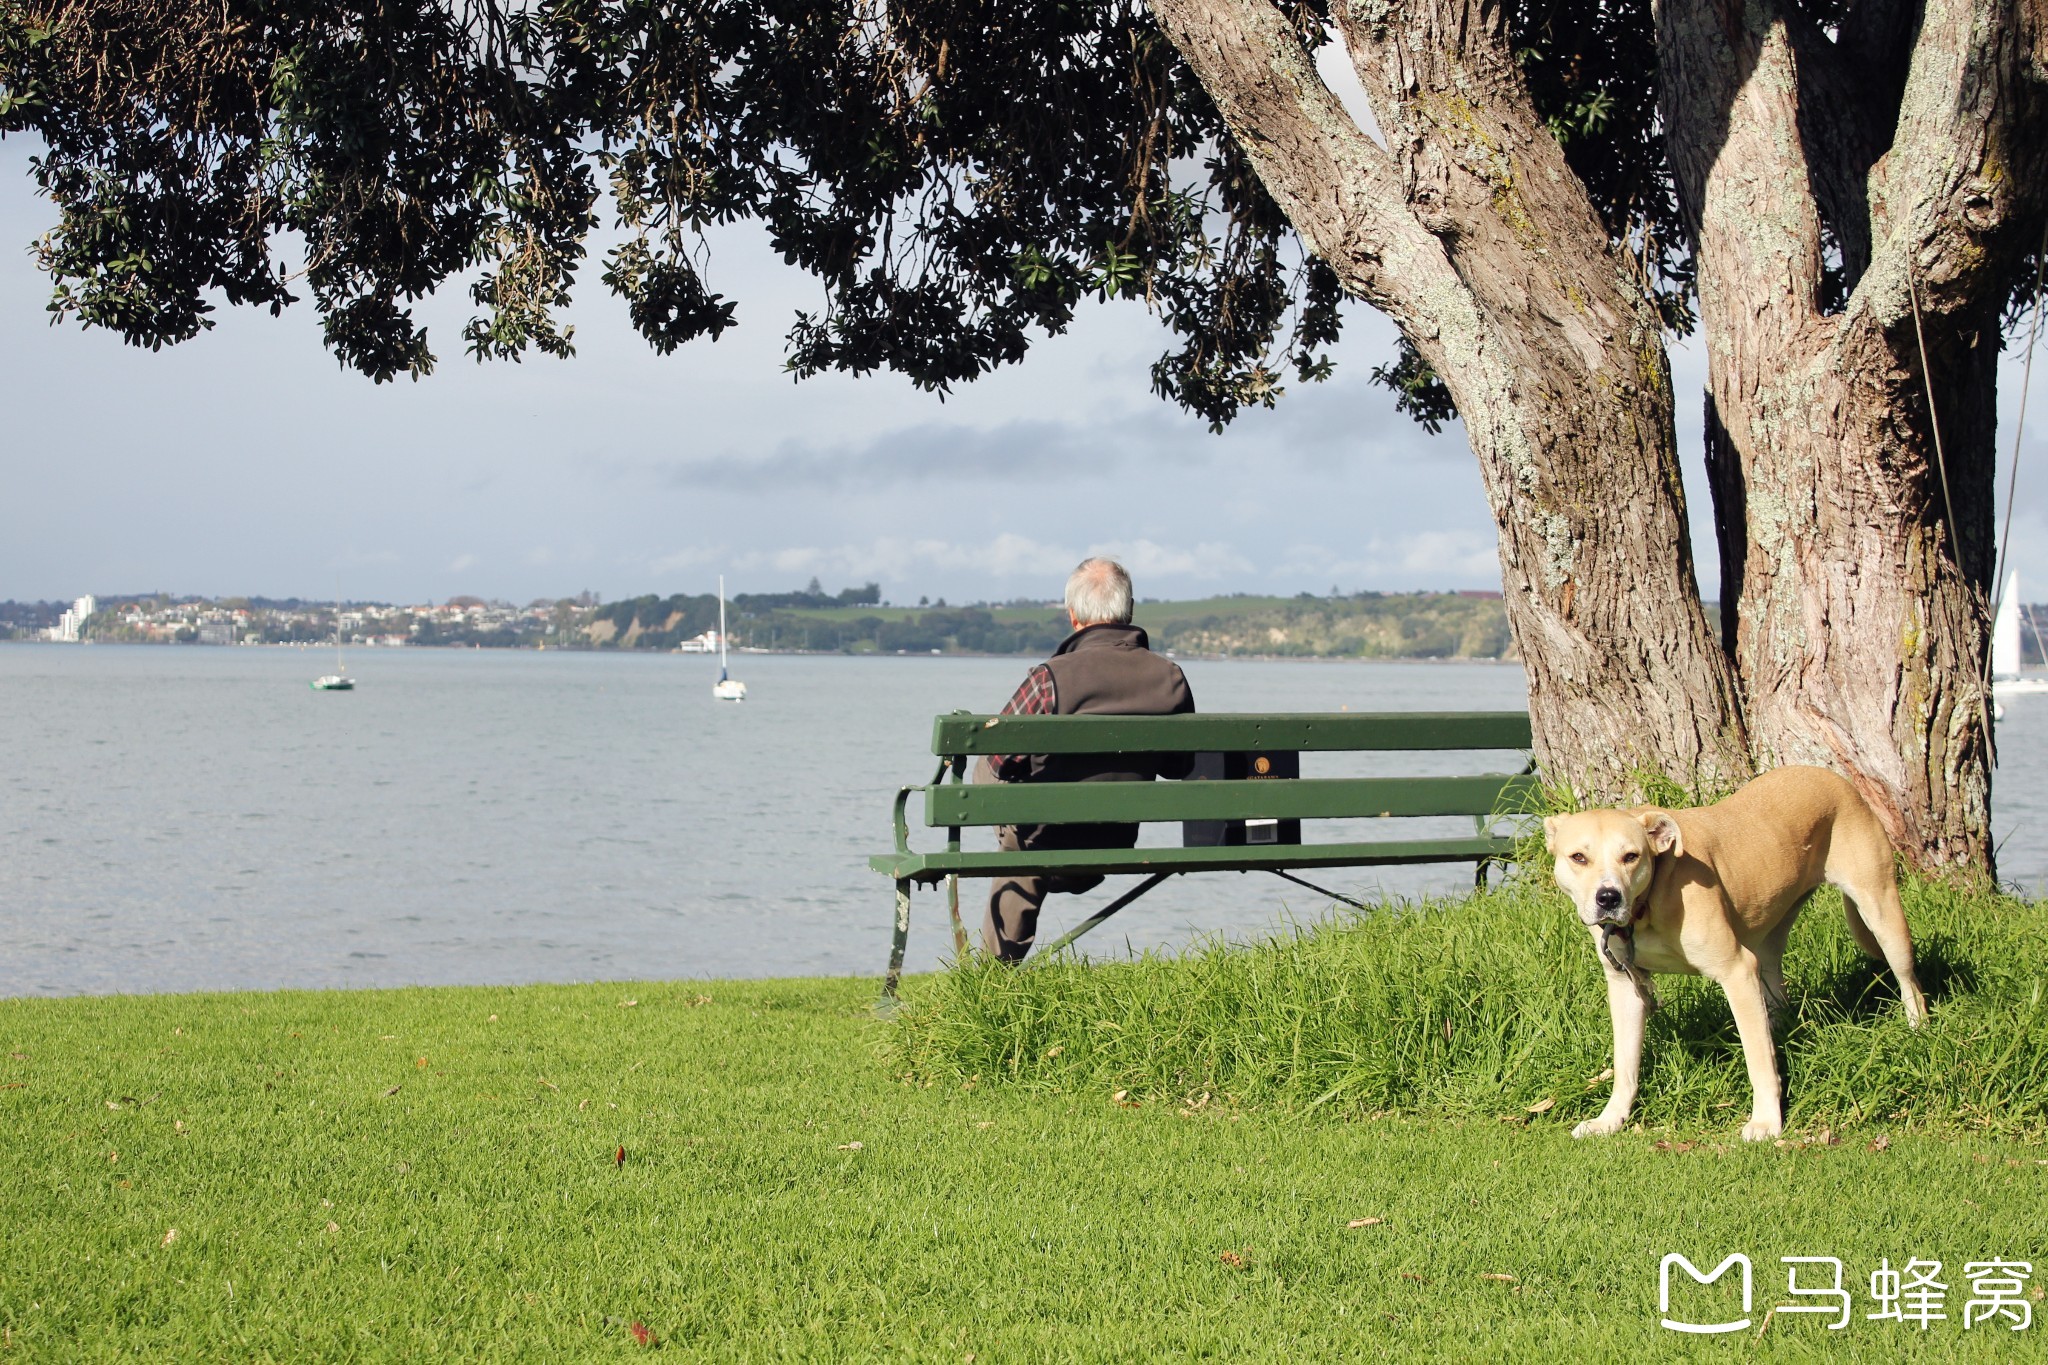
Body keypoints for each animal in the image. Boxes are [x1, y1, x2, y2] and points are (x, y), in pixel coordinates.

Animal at [1540, 769, 1925, 1146]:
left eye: (1631, 856)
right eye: (1578, 858)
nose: (1608, 897)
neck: (1647, 903)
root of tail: (1836, 779)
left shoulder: (1736, 971)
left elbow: (1757, 1060)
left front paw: (1766, 1121)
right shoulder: (1625, 984)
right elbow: (1625, 1065)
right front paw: (1610, 1120)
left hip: (1882, 912)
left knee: (1909, 981)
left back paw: (1918, 1028)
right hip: (1772, 929)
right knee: (1773, 988)